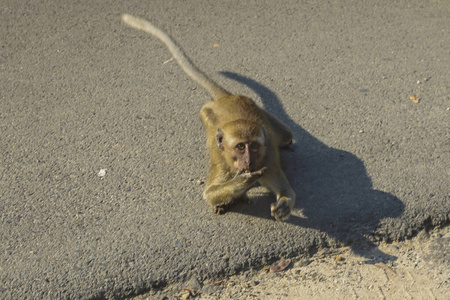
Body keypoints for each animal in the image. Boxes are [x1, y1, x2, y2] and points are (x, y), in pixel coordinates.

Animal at [121, 14, 296, 220]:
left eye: (253, 146)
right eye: (240, 147)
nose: (248, 161)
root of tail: (227, 98)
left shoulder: (268, 160)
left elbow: (287, 192)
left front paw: (283, 205)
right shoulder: (223, 161)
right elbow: (209, 193)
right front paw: (245, 181)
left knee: (286, 133)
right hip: (208, 113)